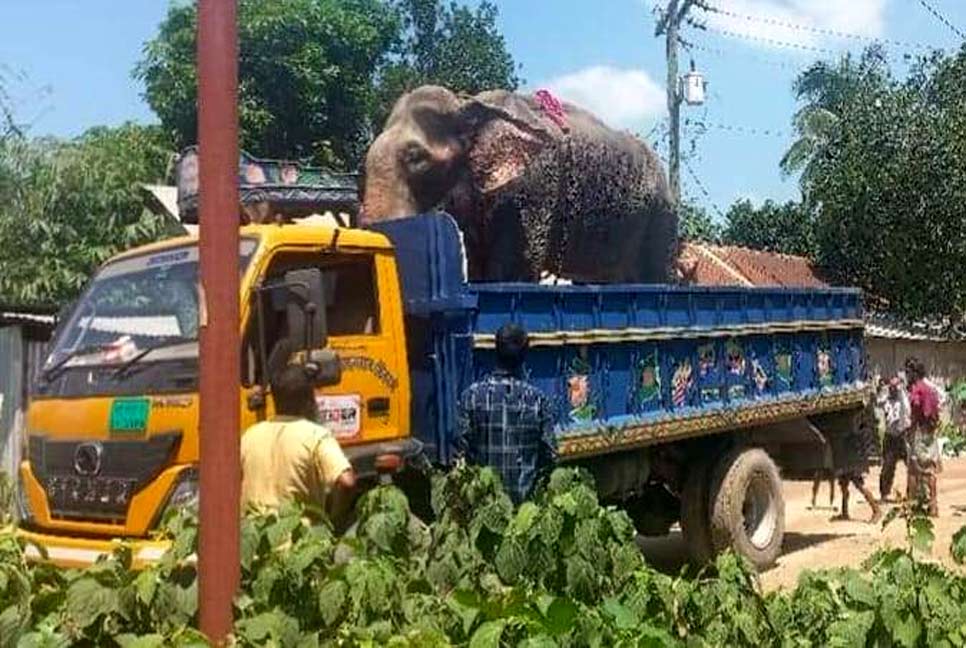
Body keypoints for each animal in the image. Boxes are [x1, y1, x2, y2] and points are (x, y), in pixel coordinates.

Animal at [362, 85, 680, 282]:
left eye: (417, 157)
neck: (469, 104)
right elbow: (476, 264)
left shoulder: (534, 191)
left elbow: (515, 266)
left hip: (660, 216)